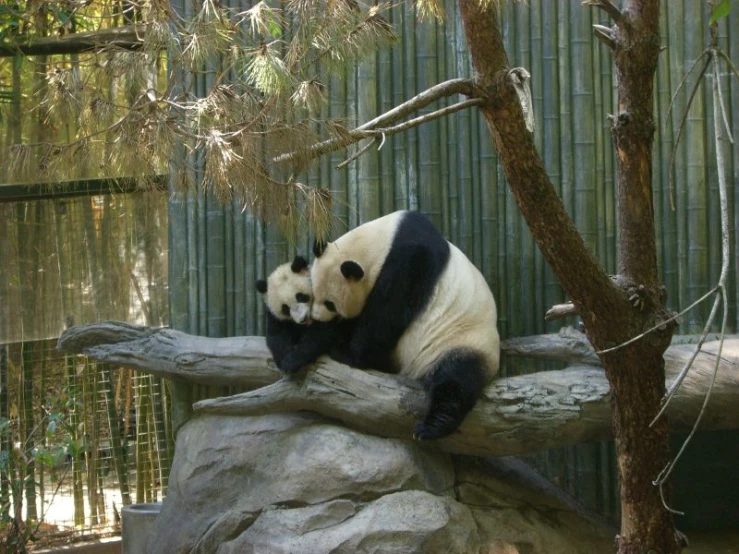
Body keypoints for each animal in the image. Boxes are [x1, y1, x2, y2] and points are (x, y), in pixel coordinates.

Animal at [310, 209, 500, 438]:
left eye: (330, 304)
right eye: (313, 295)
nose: (316, 318)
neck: (381, 243)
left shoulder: (410, 263)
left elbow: (386, 315)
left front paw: (346, 352)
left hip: (462, 340)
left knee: (456, 380)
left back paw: (431, 427)